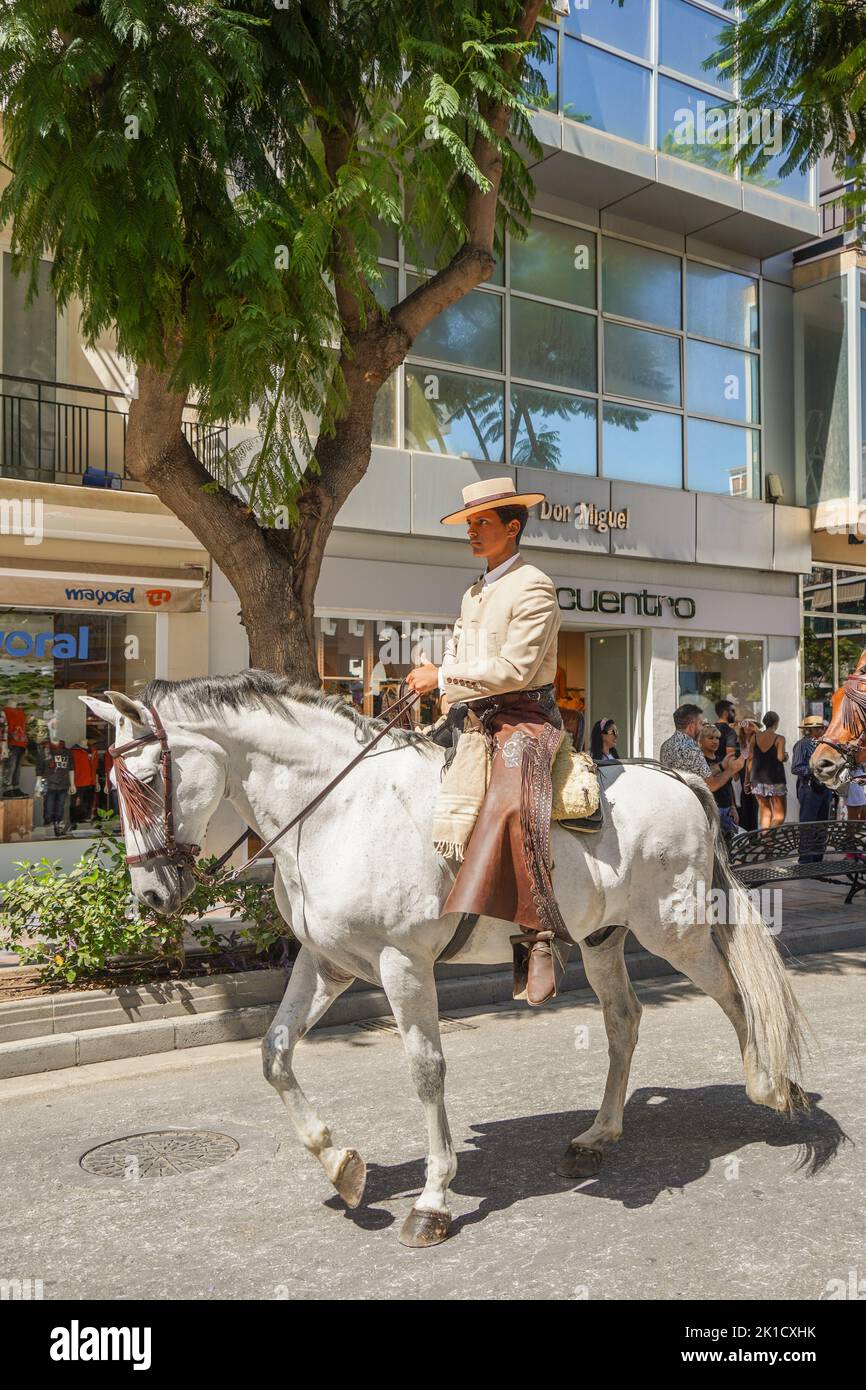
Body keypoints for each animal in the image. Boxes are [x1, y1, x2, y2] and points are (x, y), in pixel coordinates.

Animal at [84, 672, 811, 1251]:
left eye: (143, 780)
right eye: (111, 786)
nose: (151, 898)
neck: (337, 811)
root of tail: (684, 780)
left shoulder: (402, 963)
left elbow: (426, 1071)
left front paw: (431, 1201)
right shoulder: (326, 963)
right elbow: (276, 1052)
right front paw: (340, 1164)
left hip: (676, 932)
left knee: (737, 998)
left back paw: (771, 1086)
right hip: (604, 939)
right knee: (623, 1021)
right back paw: (600, 1133)